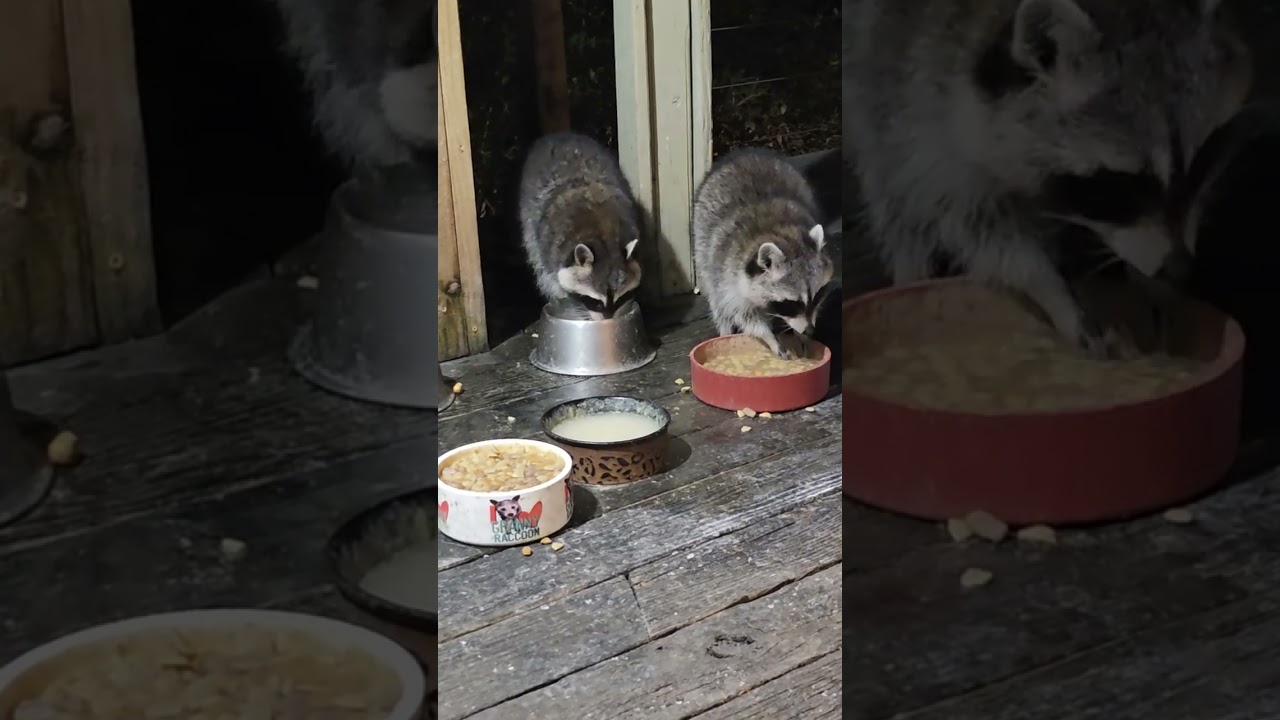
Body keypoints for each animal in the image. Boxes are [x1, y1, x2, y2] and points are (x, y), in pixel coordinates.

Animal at [518, 133, 643, 319]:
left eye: (619, 298)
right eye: (595, 301)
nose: (607, 320)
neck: (604, 236)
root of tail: (560, 135)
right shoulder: (551, 247)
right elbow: (550, 274)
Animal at [693, 148, 834, 360]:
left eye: (817, 295)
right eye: (791, 303)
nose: (809, 330)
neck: (778, 231)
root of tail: (746, 153)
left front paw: (801, 336)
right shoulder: (728, 276)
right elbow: (744, 314)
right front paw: (770, 338)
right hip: (703, 246)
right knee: (717, 302)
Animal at [844, 0, 1251, 355]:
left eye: (1202, 161)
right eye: (1120, 185)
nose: (1180, 267)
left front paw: (1149, 281)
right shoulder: (930, 108)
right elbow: (973, 222)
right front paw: (1050, 287)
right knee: (893, 191)